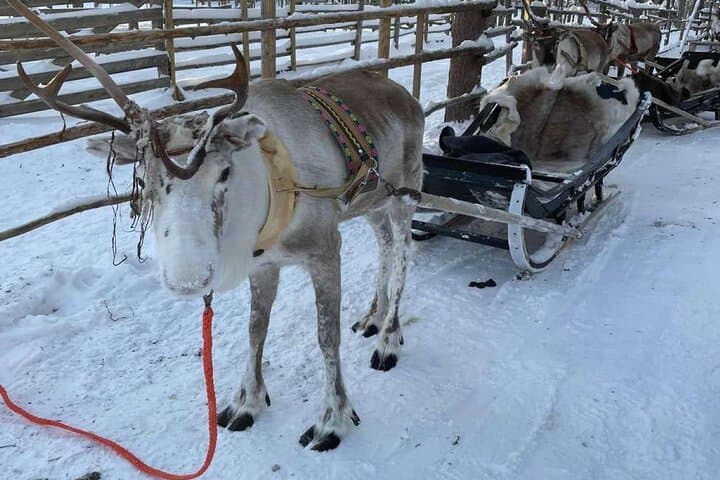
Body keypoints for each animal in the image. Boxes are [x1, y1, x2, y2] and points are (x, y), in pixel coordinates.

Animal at [8, 0, 424, 451]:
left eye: (224, 172)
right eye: (144, 180)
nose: (188, 280)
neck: (271, 183)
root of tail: (406, 96)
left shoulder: (325, 248)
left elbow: (326, 337)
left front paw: (332, 420)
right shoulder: (265, 262)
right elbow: (255, 329)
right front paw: (246, 402)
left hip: (406, 191)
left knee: (404, 252)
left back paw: (388, 338)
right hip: (371, 201)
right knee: (385, 245)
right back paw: (373, 318)